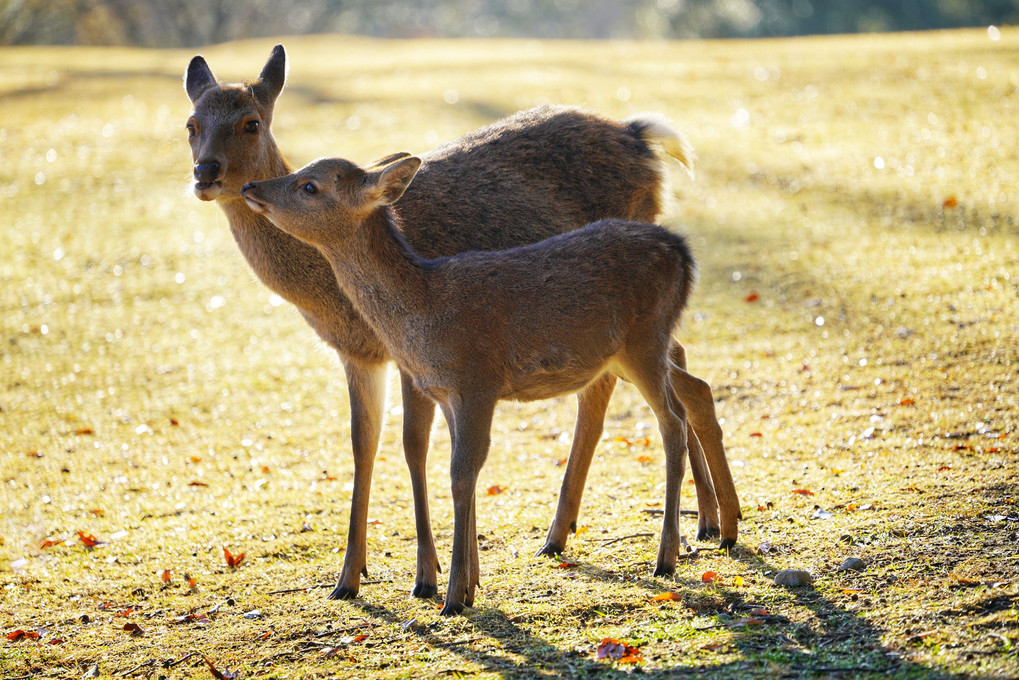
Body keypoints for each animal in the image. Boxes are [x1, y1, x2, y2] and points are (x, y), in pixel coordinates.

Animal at [185, 43, 741, 599]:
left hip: (636, 320)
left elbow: (421, 450)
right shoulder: (361, 355)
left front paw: (432, 579)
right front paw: (353, 576)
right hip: (631, 343)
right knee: (687, 382)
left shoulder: (448, 373)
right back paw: (709, 523)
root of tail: (639, 133)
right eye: (190, 124)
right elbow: (366, 446)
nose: (212, 174)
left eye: (252, 123)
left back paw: (656, 542)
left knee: (645, 404)